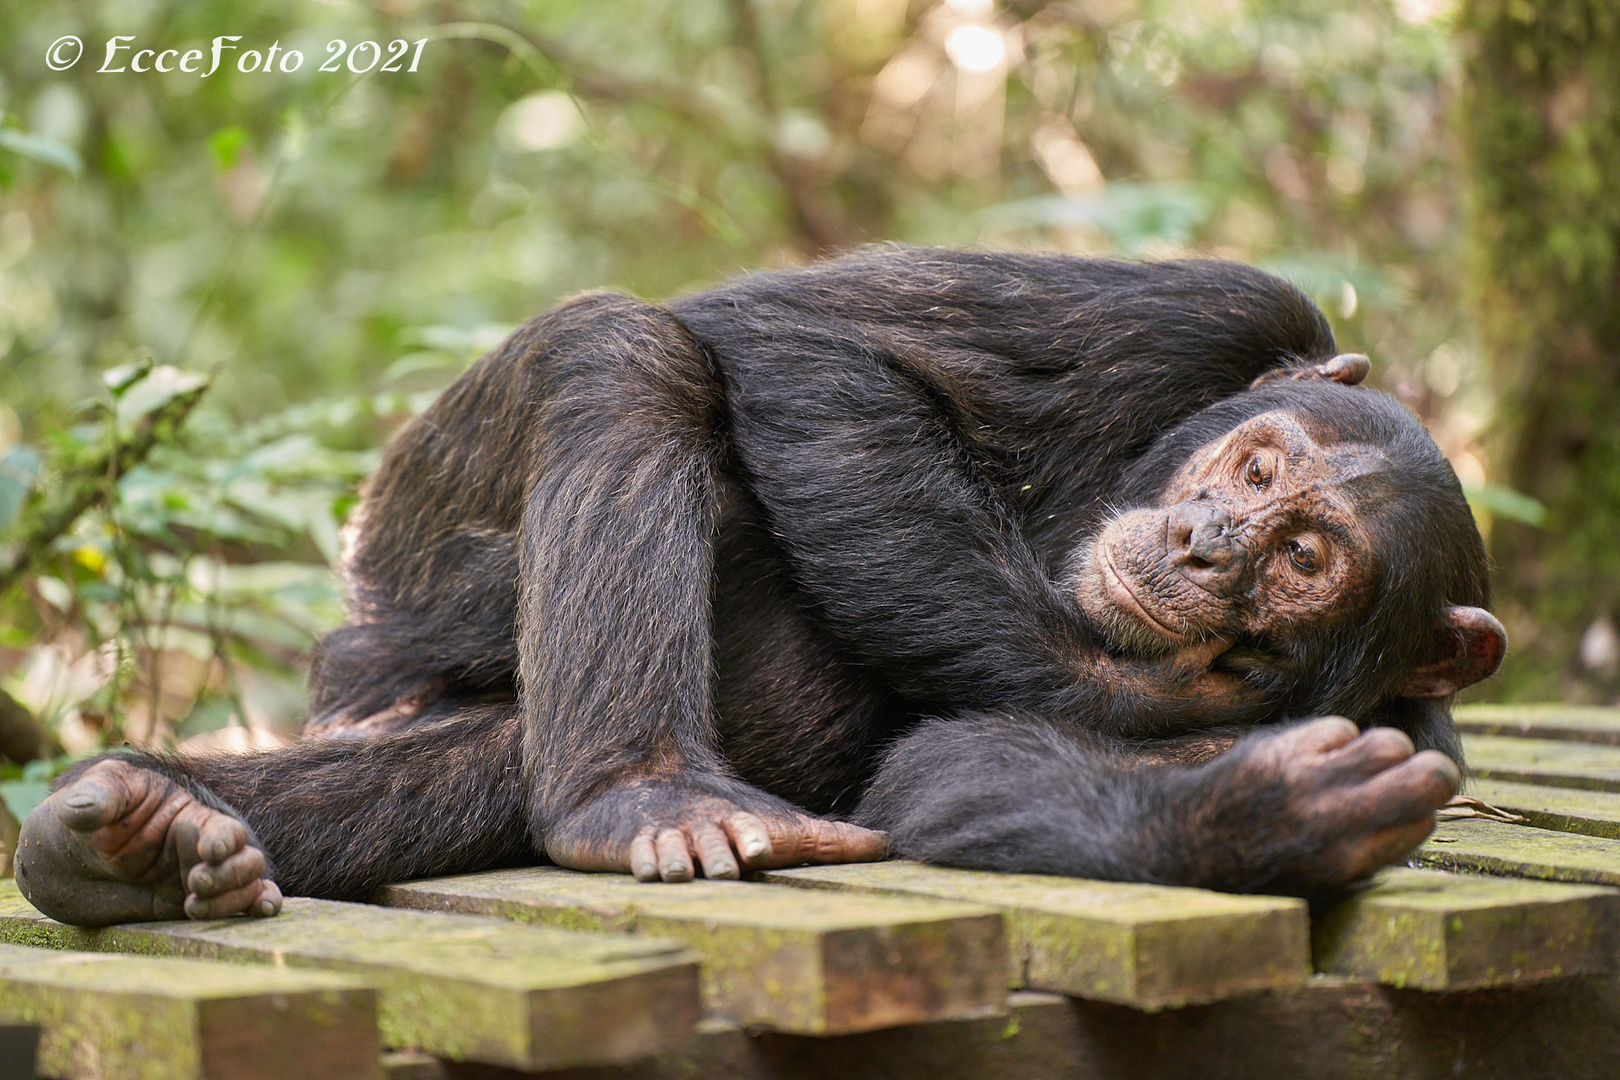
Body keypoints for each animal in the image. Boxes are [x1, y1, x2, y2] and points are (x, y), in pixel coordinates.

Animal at [15, 249, 1503, 926]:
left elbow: (956, 773)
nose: (1207, 543)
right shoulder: (1213, 314)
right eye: (1257, 467)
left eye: (1304, 560)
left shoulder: (1411, 728)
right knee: (630, 354)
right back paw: (637, 798)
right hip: (416, 531)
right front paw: (1208, 754)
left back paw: (148, 842)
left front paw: (1253, 814)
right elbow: (815, 347)